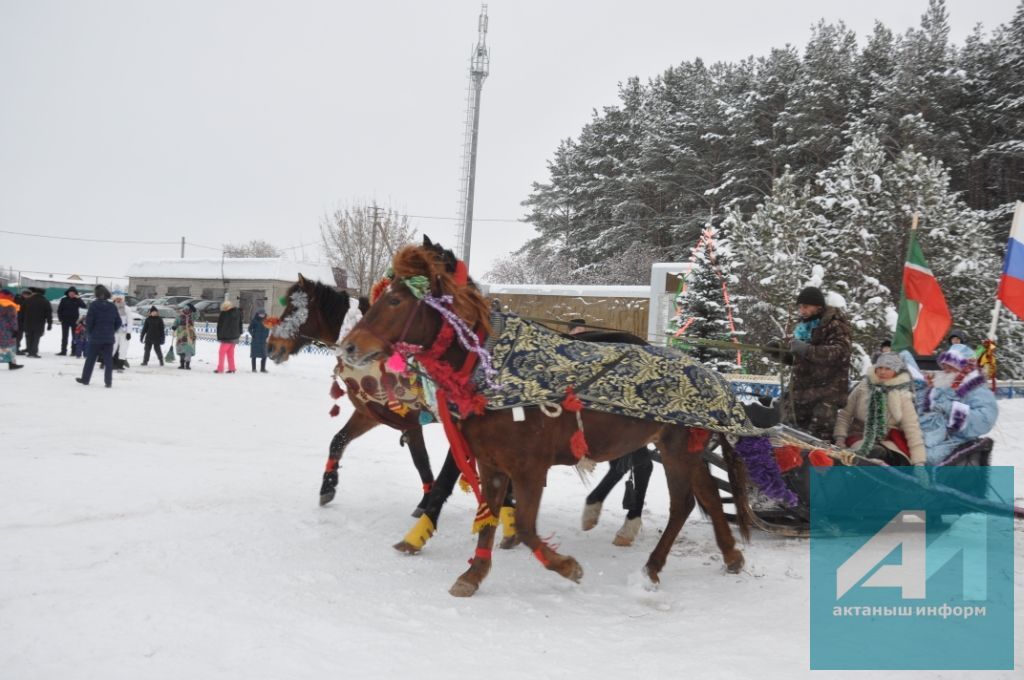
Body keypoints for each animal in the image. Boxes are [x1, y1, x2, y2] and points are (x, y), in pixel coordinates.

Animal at [344, 238, 753, 593]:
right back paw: (730, 556)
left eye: (396, 300)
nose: (349, 346)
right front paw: (473, 574)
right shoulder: (491, 464)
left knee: (681, 503)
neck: (493, 368)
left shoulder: (529, 467)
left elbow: (525, 526)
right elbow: (488, 516)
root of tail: (716, 377)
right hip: (686, 449)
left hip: (676, 450)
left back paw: (651, 565)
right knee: (707, 495)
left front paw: (567, 567)